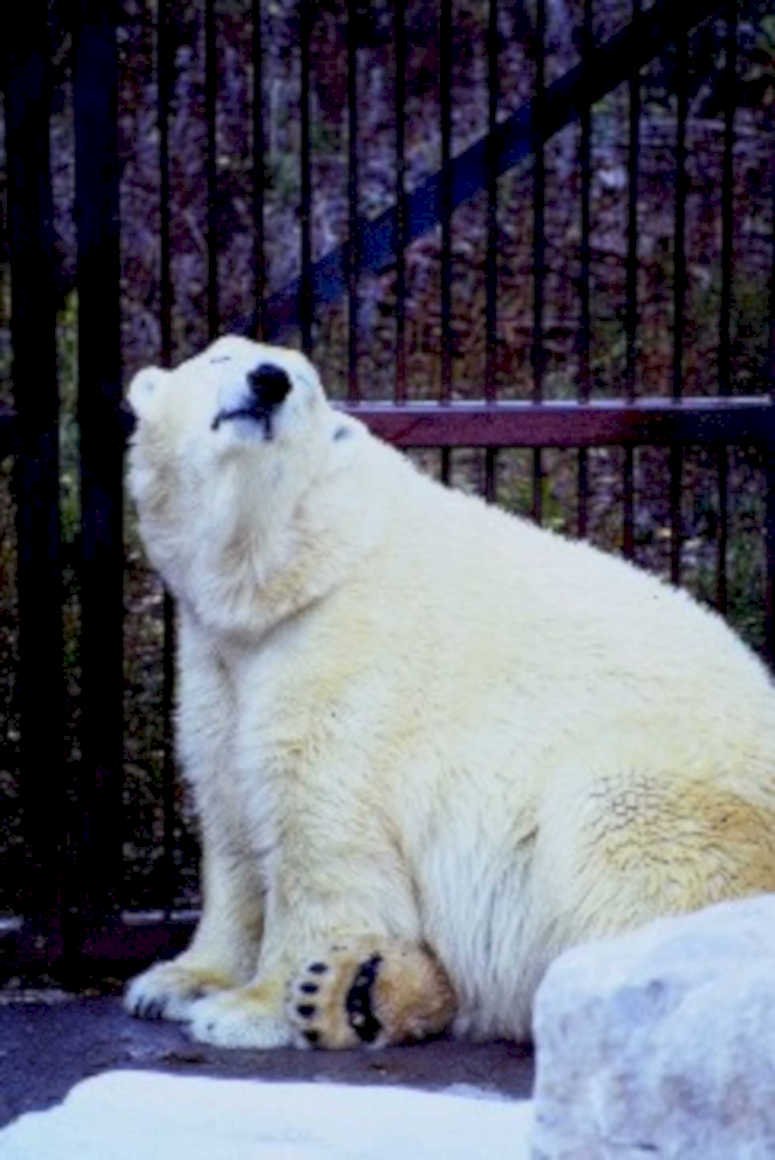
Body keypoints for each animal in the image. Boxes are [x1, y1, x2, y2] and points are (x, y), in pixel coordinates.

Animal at [124, 334, 775, 1050]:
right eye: (220, 357)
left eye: (305, 383)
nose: (268, 381)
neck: (293, 571)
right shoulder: (217, 661)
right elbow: (230, 818)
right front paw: (176, 981)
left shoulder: (345, 661)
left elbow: (319, 837)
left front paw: (250, 1007)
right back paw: (357, 991)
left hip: (681, 810)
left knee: (611, 844)